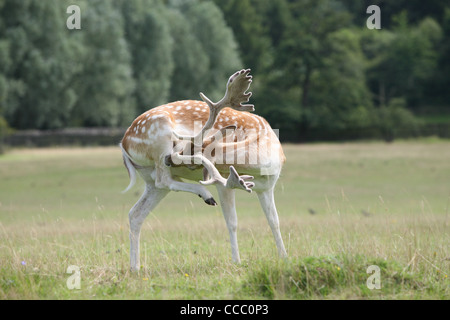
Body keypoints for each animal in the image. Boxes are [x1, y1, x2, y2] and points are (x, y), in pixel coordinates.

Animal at [119, 69, 286, 272]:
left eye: (192, 162)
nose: (169, 158)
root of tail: (124, 143)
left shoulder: (267, 186)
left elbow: (274, 221)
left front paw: (284, 257)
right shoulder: (225, 181)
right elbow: (232, 222)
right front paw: (237, 262)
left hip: (150, 180)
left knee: (136, 213)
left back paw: (135, 268)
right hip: (159, 137)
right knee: (163, 181)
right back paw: (206, 194)